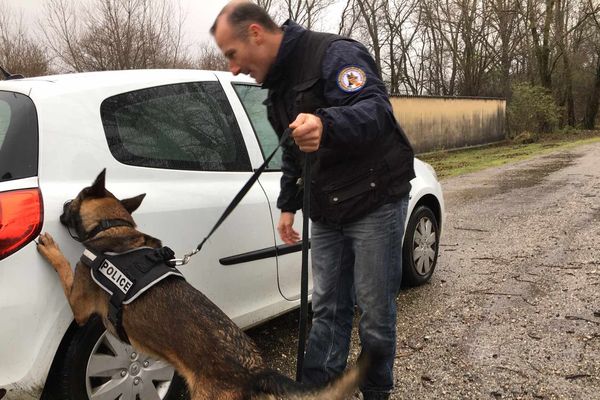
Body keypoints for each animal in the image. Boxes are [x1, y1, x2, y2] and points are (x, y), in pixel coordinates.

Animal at [37, 170, 368, 398]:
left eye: (73, 200)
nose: (62, 210)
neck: (114, 227)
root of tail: (255, 369)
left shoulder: (79, 305)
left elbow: (64, 268)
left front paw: (51, 248)